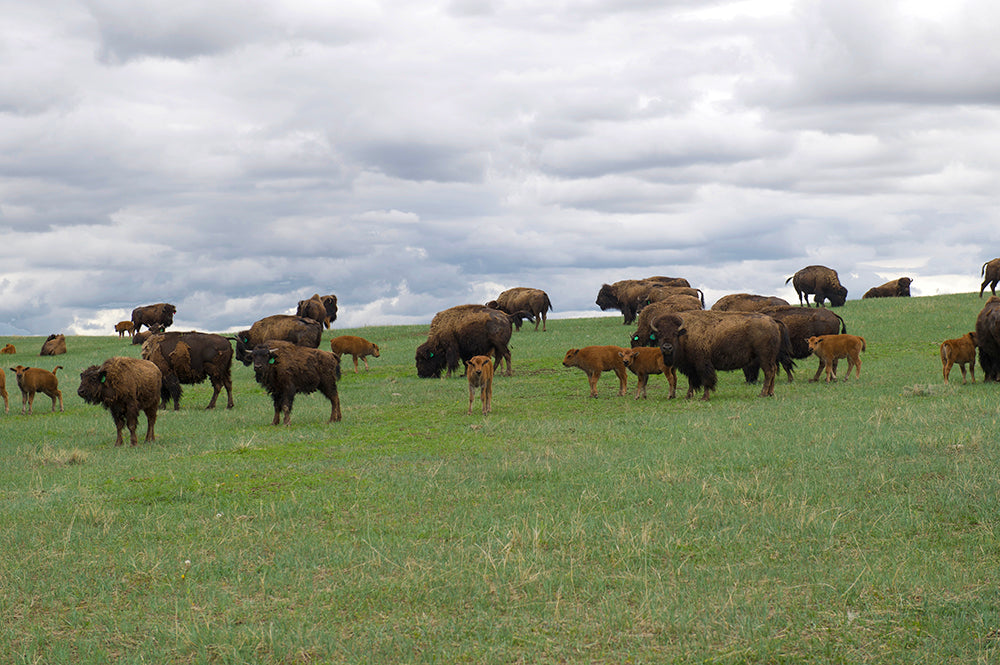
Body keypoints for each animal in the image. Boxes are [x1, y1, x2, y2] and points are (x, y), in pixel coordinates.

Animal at [652, 310, 792, 400]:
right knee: (773, 371)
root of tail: (772, 320)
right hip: (770, 358)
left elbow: (707, 381)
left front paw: (704, 397)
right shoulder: (691, 367)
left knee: (769, 372)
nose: (667, 348)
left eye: (675, 333)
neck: (685, 333)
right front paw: (688, 396)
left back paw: (762, 394)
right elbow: (692, 382)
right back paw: (770, 393)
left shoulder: (702, 364)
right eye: (659, 334)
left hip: (764, 357)